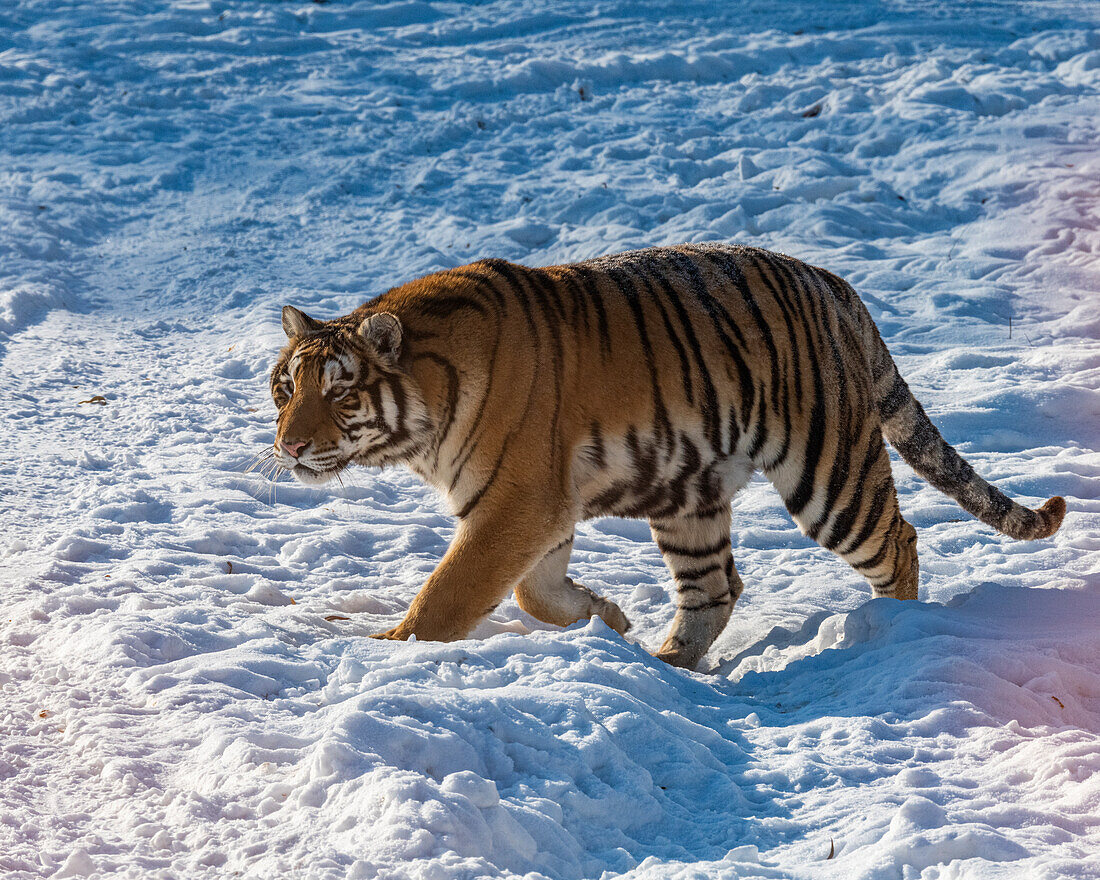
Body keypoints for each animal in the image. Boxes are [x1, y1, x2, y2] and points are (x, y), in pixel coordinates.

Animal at [266, 244, 1064, 668]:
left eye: (340, 393)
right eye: (285, 387)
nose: (290, 446)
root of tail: (837, 286)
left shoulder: (514, 503)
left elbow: (448, 593)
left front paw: (390, 648)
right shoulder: (538, 507)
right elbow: (531, 590)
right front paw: (606, 615)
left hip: (829, 474)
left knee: (898, 540)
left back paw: (888, 636)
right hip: (688, 494)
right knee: (715, 586)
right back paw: (667, 662)